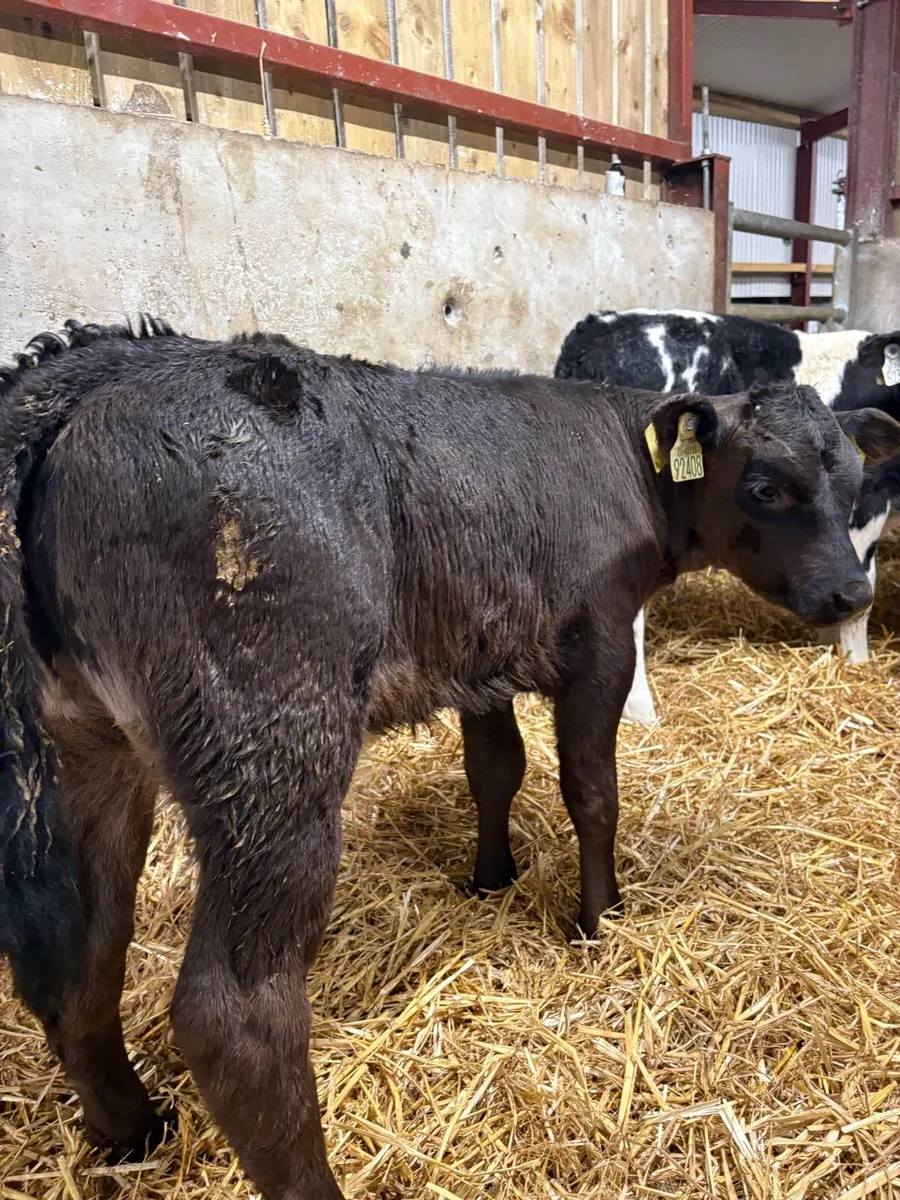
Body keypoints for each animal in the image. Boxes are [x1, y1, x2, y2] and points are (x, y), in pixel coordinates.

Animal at [555, 309, 900, 723]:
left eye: (851, 475)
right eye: (767, 490)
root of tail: (596, 326)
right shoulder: (869, 506)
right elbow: (862, 588)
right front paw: (854, 661)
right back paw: (641, 712)